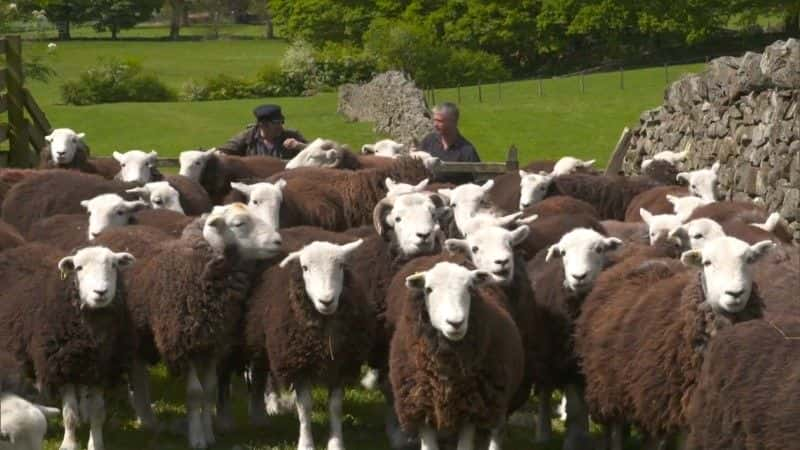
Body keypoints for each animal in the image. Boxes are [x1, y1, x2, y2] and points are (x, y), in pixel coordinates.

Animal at [0, 244, 136, 450]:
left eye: (114, 265)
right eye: (79, 268)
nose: (101, 292)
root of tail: (23, 247)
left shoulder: (101, 369)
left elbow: (98, 413)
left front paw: (95, 443)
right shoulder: (62, 367)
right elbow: (69, 415)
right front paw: (69, 443)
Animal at [125, 205, 284, 450]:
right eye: (239, 223)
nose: (278, 241)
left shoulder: (212, 345)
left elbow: (209, 391)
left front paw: (209, 435)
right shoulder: (184, 345)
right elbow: (195, 394)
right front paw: (197, 438)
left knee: (139, 375)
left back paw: (147, 420)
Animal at [244, 241, 372, 450]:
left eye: (341, 266)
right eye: (305, 268)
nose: (326, 301)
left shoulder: (340, 366)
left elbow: (335, 408)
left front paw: (336, 444)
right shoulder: (299, 366)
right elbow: (305, 407)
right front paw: (305, 444)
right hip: (261, 345)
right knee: (260, 377)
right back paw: (262, 413)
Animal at [576, 236, 776, 446]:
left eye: (750, 259)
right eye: (707, 262)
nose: (735, 293)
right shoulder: (661, 406)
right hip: (607, 387)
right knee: (615, 431)